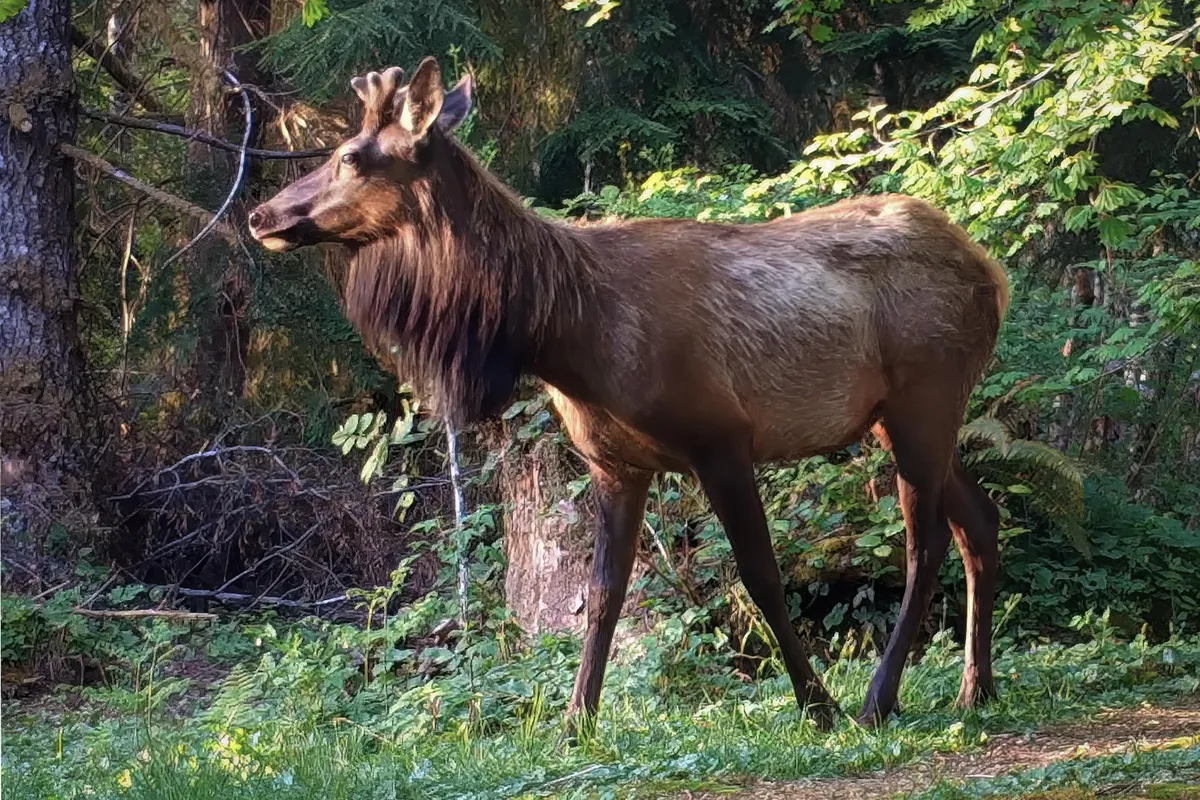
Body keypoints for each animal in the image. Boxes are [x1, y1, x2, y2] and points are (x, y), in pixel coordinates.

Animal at [248, 57, 1008, 731]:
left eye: (351, 156)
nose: (260, 214)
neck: (569, 340)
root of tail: (991, 273)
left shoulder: (721, 438)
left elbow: (760, 576)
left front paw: (815, 706)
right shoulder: (614, 462)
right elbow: (602, 592)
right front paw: (575, 721)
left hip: (924, 397)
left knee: (924, 543)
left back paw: (879, 700)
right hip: (899, 416)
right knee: (980, 519)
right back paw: (976, 688)